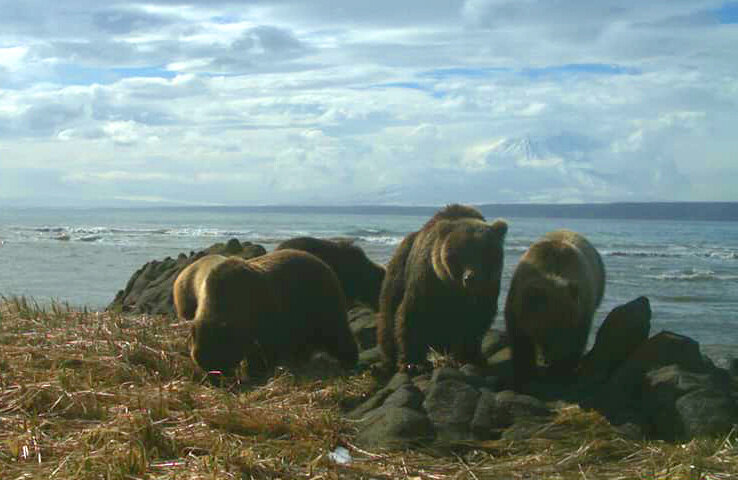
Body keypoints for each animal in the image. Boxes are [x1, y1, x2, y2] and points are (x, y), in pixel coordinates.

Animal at [172, 249, 356, 376]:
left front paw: (258, 371)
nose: (216, 380)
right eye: (201, 361)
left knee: (336, 333)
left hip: (320, 302)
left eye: (221, 359)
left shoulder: (265, 312)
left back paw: (349, 361)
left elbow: (265, 348)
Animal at [376, 202, 508, 372]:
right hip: (397, 273)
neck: (454, 289)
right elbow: (412, 313)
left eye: (484, 252)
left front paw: (471, 357)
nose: (471, 278)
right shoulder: (427, 279)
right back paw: (389, 357)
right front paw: (413, 363)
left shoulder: (487, 289)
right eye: (461, 252)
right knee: (388, 314)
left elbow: (475, 322)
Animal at [506, 229, 604, 390]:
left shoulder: (581, 312)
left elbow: (577, 341)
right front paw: (525, 374)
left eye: (568, 324)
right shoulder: (518, 308)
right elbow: (521, 343)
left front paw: (561, 371)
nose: (559, 356)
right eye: (547, 328)